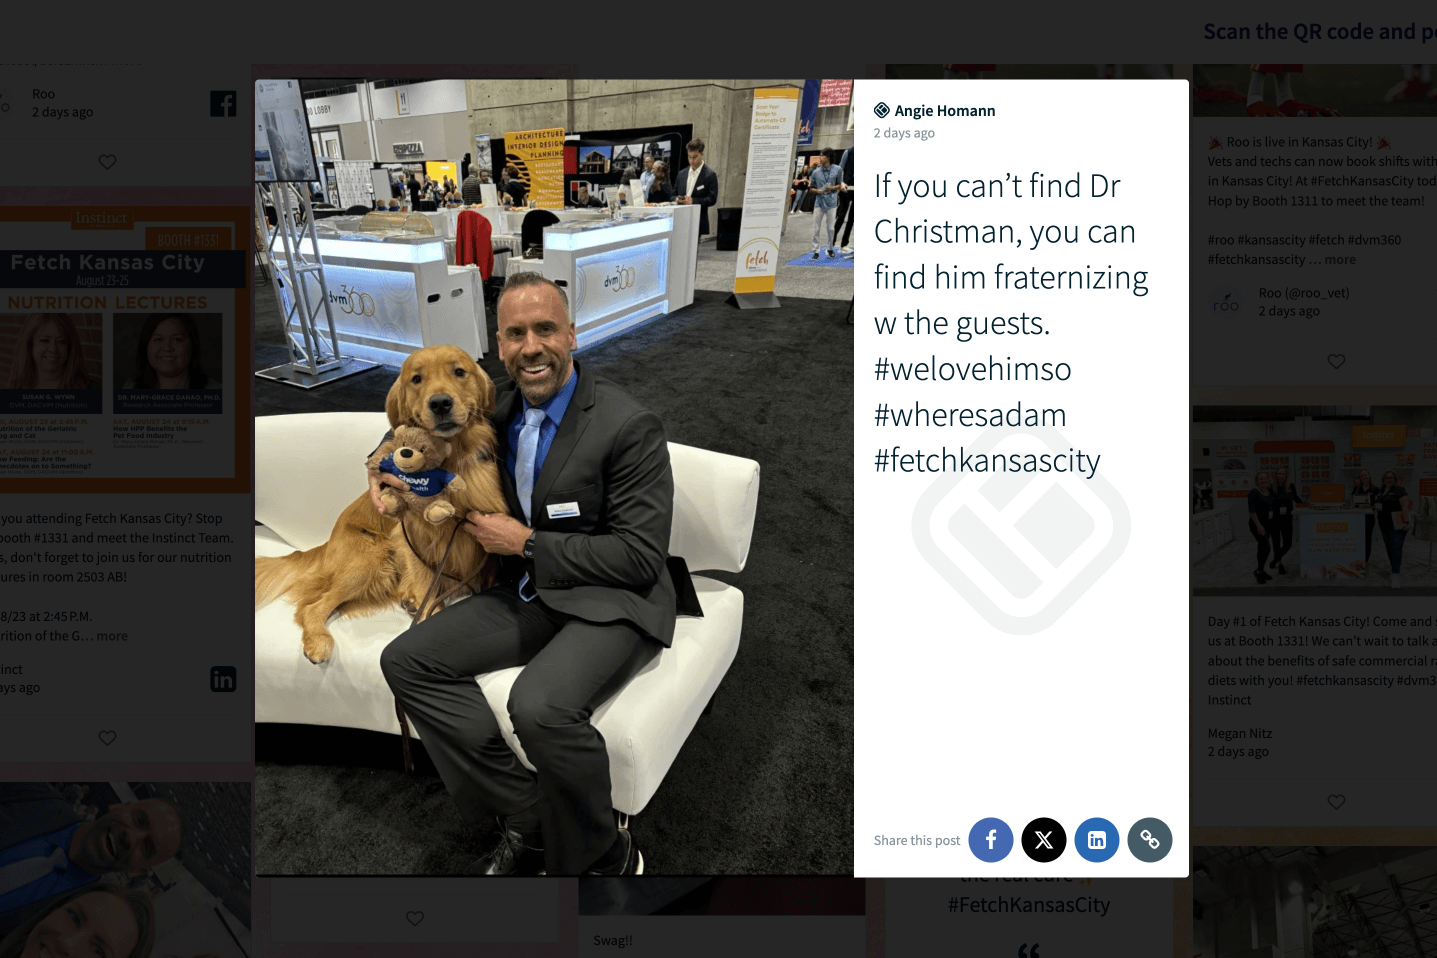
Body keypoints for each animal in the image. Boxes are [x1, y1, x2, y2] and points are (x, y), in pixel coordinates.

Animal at [255, 346, 508, 666]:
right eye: (416, 379)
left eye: (459, 372)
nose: (440, 403)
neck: (451, 460)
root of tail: (328, 542)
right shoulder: (414, 539)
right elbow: (426, 585)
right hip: (371, 559)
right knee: (313, 605)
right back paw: (318, 640)